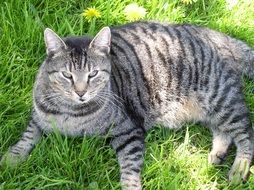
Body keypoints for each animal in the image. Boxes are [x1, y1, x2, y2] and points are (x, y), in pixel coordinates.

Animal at [1, 21, 254, 189]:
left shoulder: (128, 129)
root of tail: (210, 32)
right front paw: (11, 158)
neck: (71, 114)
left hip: (221, 99)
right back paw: (216, 154)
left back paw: (238, 169)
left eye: (93, 74)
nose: (81, 92)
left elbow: (130, 165)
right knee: (224, 132)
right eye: (67, 75)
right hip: (211, 109)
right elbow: (26, 137)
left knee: (245, 135)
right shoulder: (38, 118)